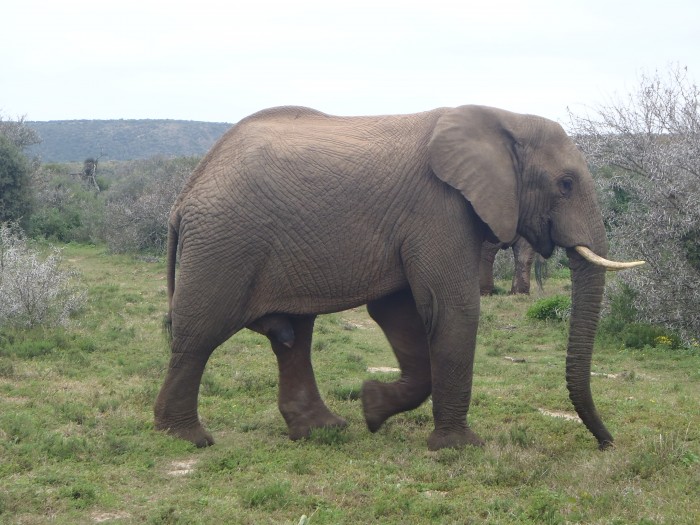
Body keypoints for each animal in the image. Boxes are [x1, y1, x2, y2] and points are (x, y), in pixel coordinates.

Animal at [154, 103, 644, 450]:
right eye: (565, 184)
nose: (607, 443)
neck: (504, 118)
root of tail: (187, 191)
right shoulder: (440, 207)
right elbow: (451, 308)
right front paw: (460, 447)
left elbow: (398, 314)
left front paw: (372, 407)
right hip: (225, 241)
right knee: (199, 335)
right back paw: (188, 439)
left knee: (293, 337)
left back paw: (323, 431)